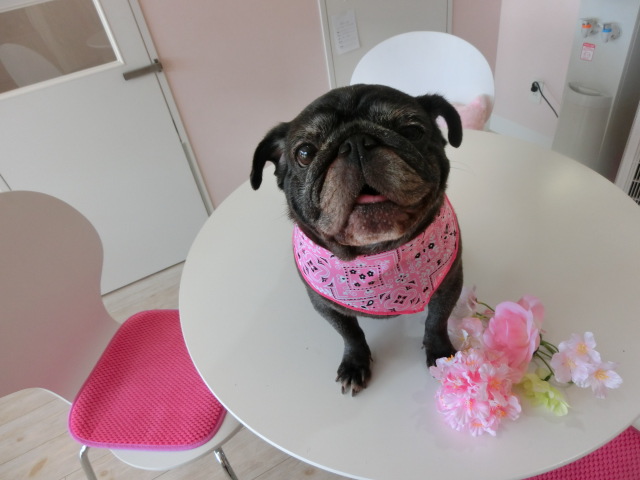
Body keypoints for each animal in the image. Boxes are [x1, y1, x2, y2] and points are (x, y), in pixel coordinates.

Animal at [250, 84, 463, 395]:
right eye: (305, 152)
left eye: (412, 131)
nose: (356, 142)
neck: (375, 255)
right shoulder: (325, 305)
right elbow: (350, 334)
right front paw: (355, 363)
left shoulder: (449, 285)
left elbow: (437, 322)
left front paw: (440, 355)